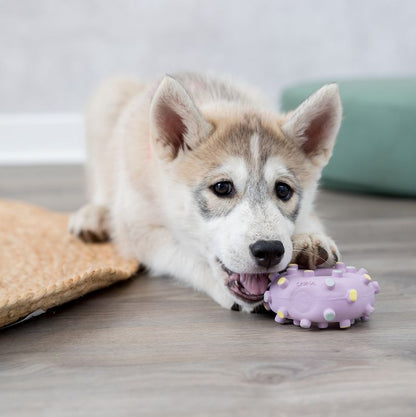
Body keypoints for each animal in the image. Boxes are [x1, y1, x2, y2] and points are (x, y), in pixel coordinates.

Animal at [68, 72, 342, 312]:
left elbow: (309, 215)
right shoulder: (137, 229)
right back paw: (94, 215)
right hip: (109, 99)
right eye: (222, 187)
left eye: (283, 190)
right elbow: (185, 254)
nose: (269, 250)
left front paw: (311, 238)